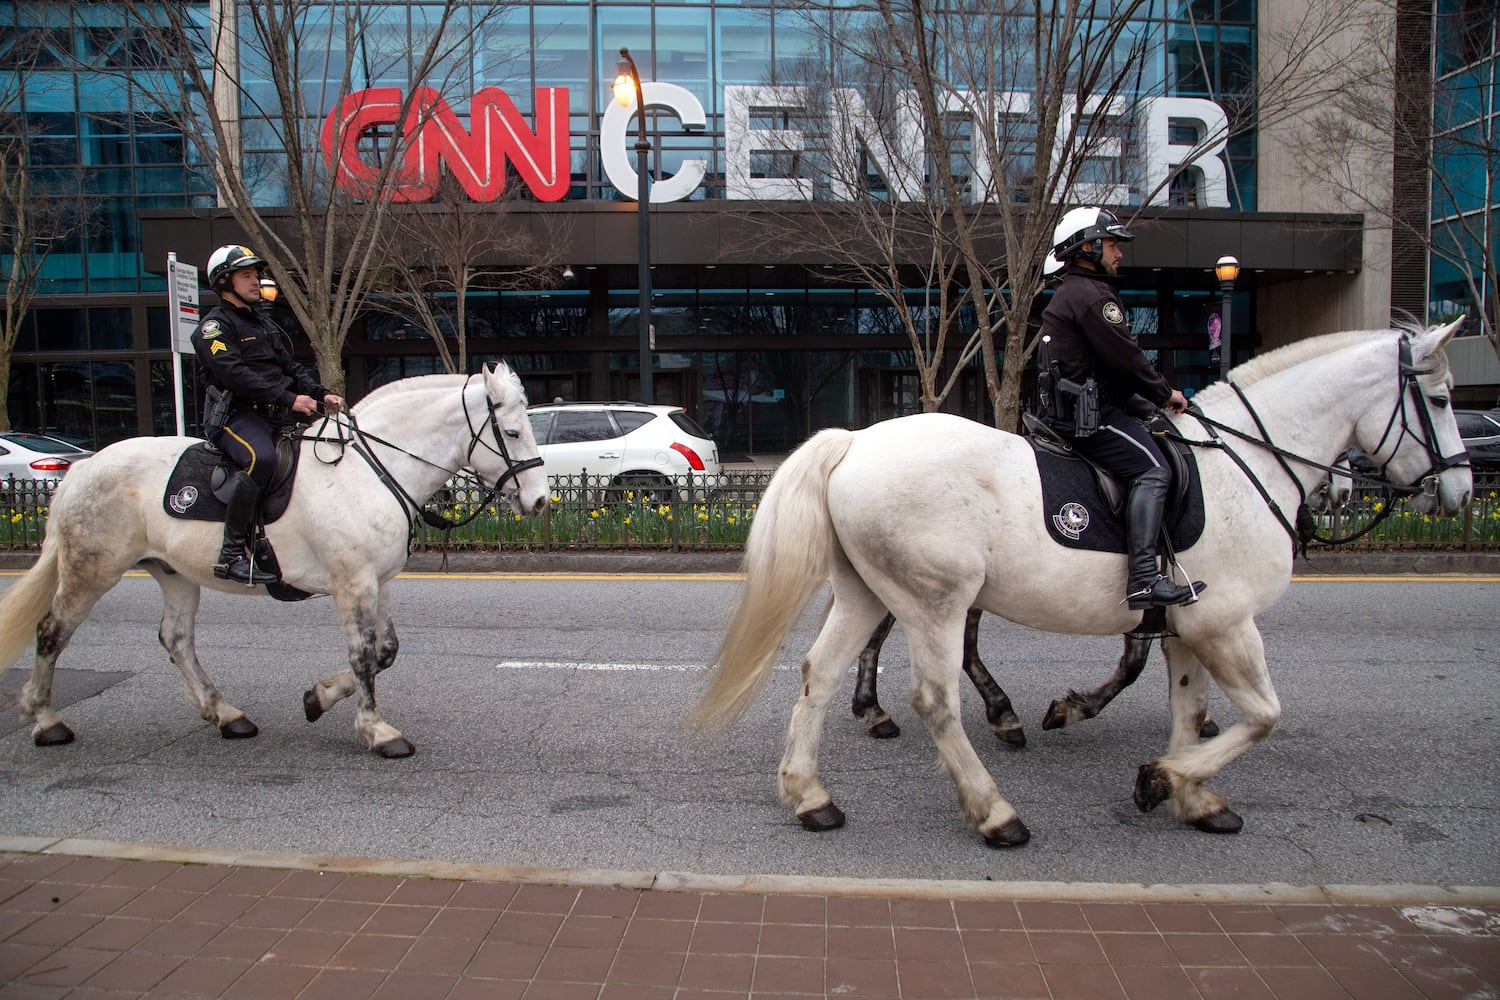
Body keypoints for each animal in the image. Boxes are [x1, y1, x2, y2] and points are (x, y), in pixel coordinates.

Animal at [0, 364, 549, 755]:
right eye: (513, 433)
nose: (541, 501)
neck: (370, 470)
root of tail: (83, 466)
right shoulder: (352, 582)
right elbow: (363, 655)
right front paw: (376, 731)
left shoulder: (380, 581)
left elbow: (385, 652)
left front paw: (318, 698)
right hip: (92, 568)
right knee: (51, 632)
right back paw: (45, 719)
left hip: (174, 573)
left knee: (176, 639)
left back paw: (224, 713)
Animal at [696, 322, 1470, 845]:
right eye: (1439, 396)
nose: (1460, 489)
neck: (1245, 463)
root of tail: (857, 439)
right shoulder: (1224, 621)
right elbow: (1261, 715)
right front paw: (1162, 776)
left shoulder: (1186, 626)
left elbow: (1189, 706)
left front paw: (1192, 792)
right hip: (935, 600)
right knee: (935, 700)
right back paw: (993, 809)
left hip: (868, 591)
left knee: (820, 674)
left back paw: (810, 794)